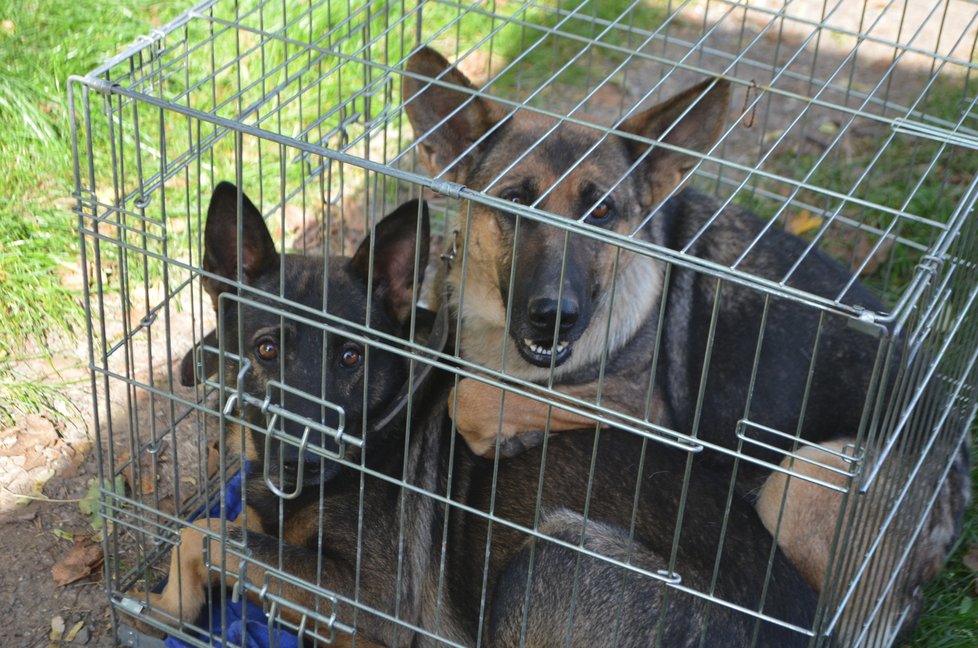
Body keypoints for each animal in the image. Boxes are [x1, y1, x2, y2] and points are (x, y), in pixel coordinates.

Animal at [132, 184, 816, 648]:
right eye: (267, 349)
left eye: (352, 356)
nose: (300, 462)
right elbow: (218, 529)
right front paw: (168, 606)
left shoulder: (371, 596)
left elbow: (211, 535)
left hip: (554, 555)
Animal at [402, 46, 968, 644]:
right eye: (513, 200)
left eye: (602, 211)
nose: (555, 317)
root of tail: (957, 481)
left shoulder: (642, 409)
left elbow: (471, 397)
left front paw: (510, 430)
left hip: (806, 480)